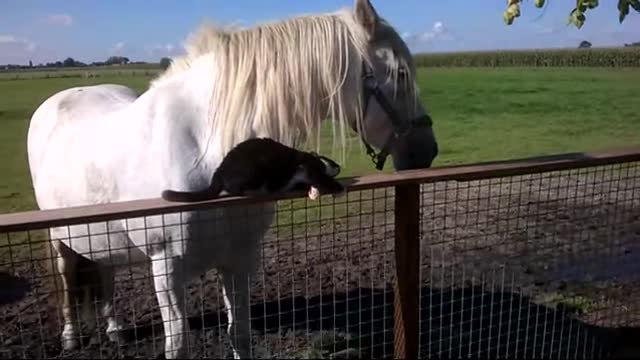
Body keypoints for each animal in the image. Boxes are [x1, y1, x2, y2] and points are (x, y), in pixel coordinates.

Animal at [162, 137, 344, 201]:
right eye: (333, 162)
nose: (339, 166)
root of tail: (219, 171)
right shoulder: (307, 167)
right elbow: (319, 176)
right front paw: (337, 187)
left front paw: (313, 191)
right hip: (252, 170)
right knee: (234, 189)